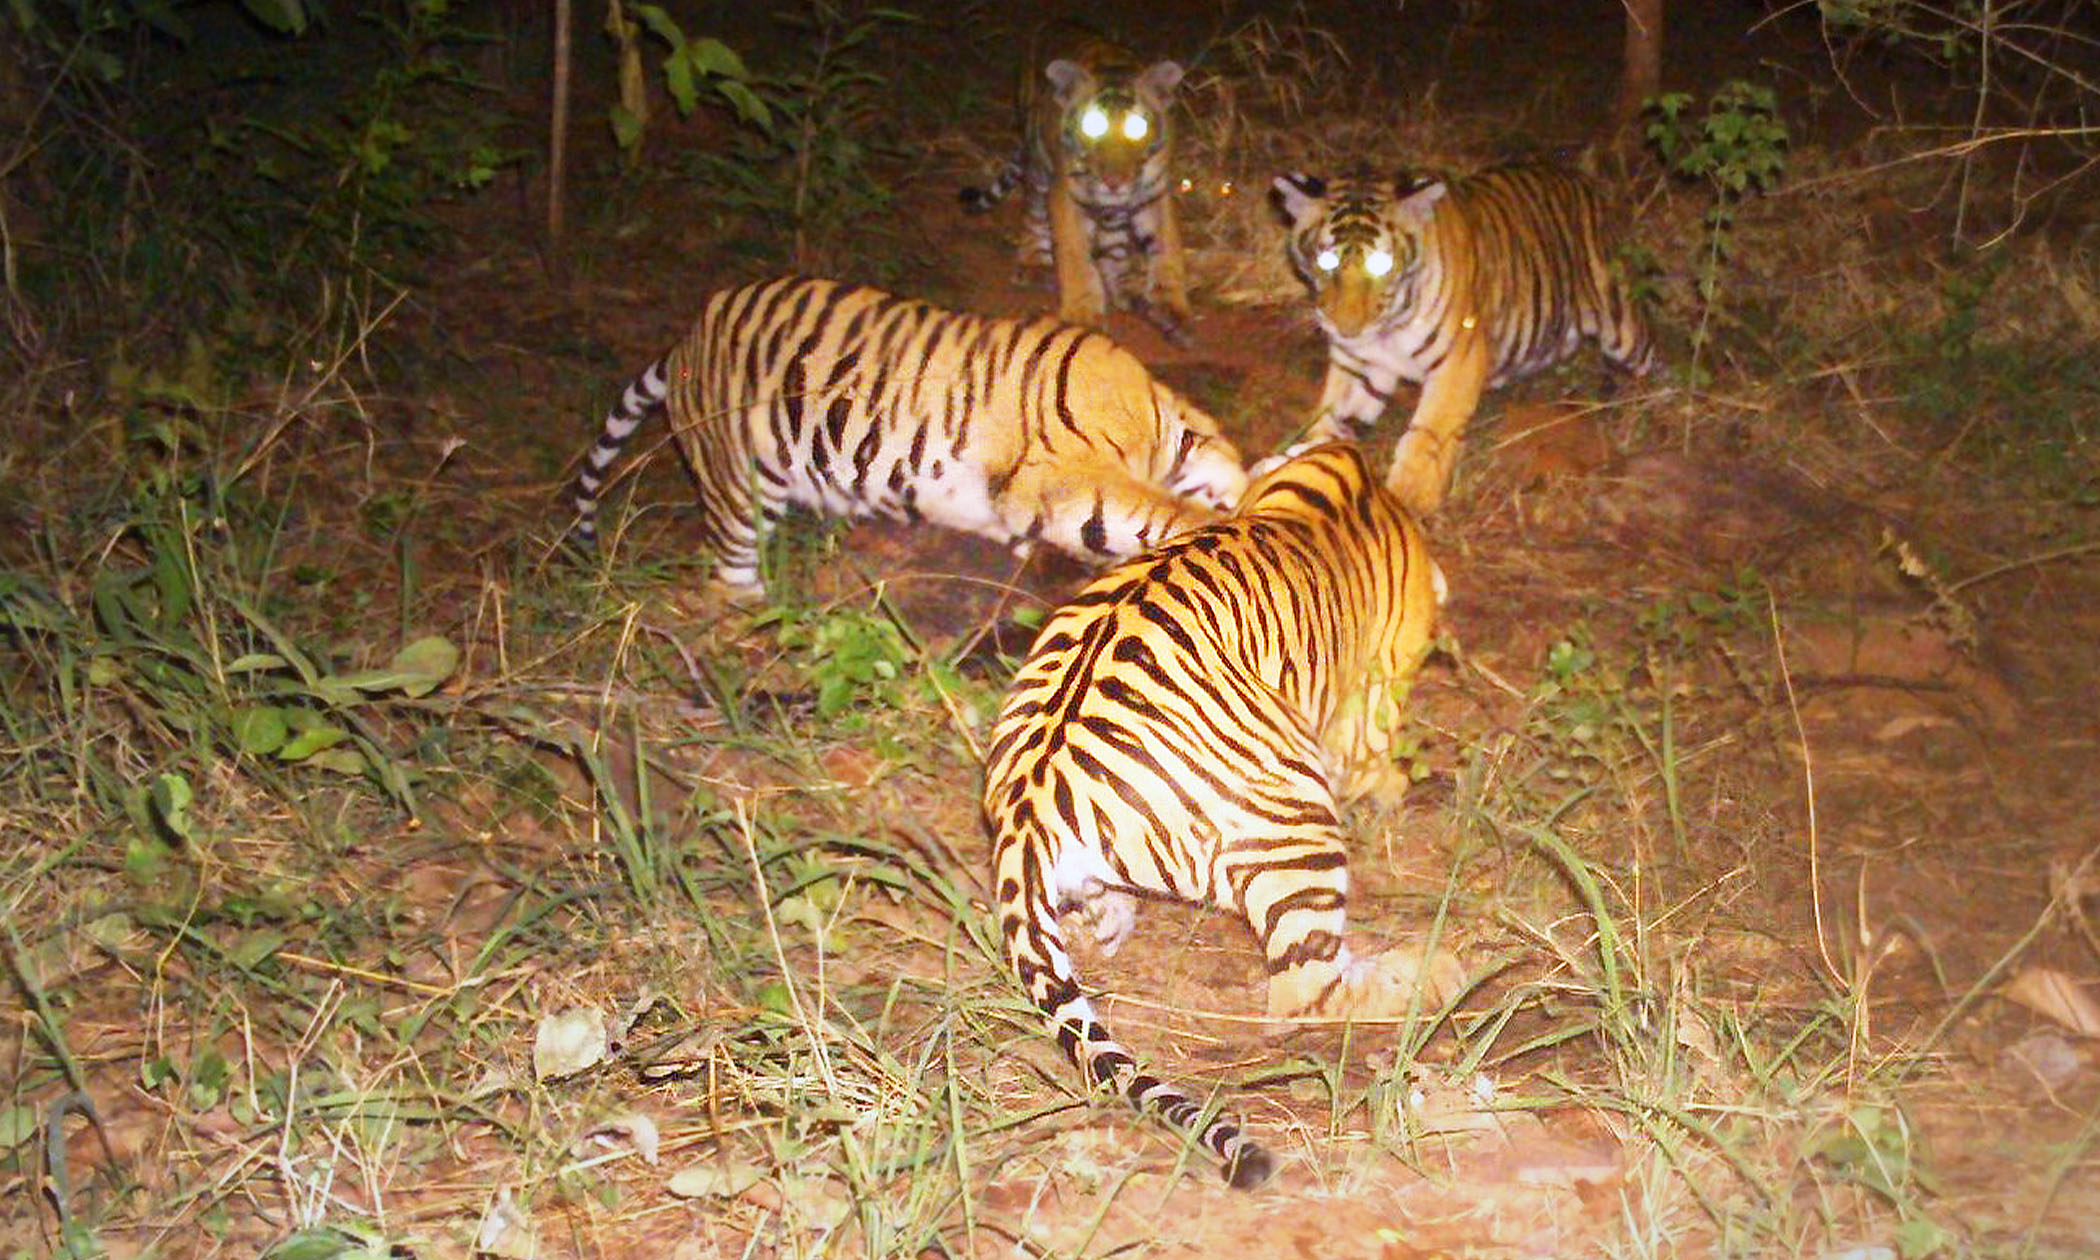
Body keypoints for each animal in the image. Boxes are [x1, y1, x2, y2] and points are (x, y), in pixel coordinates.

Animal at [567, 277, 1234, 600]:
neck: (1157, 419)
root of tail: (687, 340)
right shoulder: (1062, 475)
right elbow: (1157, 511)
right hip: (739, 483)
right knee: (727, 572)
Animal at [961, 27, 1192, 348]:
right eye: (1092, 125)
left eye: (1137, 128)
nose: (1114, 181)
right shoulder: (1065, 195)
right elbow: (1074, 254)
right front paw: (1083, 315)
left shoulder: (1155, 193)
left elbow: (1168, 248)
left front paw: (1172, 309)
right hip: (1038, 164)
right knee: (1033, 216)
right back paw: (1035, 265)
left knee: (1113, 248)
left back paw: (1126, 290)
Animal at [982, 445, 1461, 1192]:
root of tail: (1030, 800)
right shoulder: (1369, 700)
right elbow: (1377, 758)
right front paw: (1396, 789)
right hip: (1299, 807)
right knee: (1302, 993)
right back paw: (1437, 973)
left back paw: (1107, 923)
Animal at [1260, 164, 1654, 514]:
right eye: (1325, 261)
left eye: (1381, 264)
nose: (1347, 328)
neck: (1388, 328)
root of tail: (1581, 179)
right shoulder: (1359, 364)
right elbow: (1326, 416)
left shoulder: (1459, 357)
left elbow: (1428, 432)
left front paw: (1409, 499)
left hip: (1620, 321)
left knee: (1649, 361)